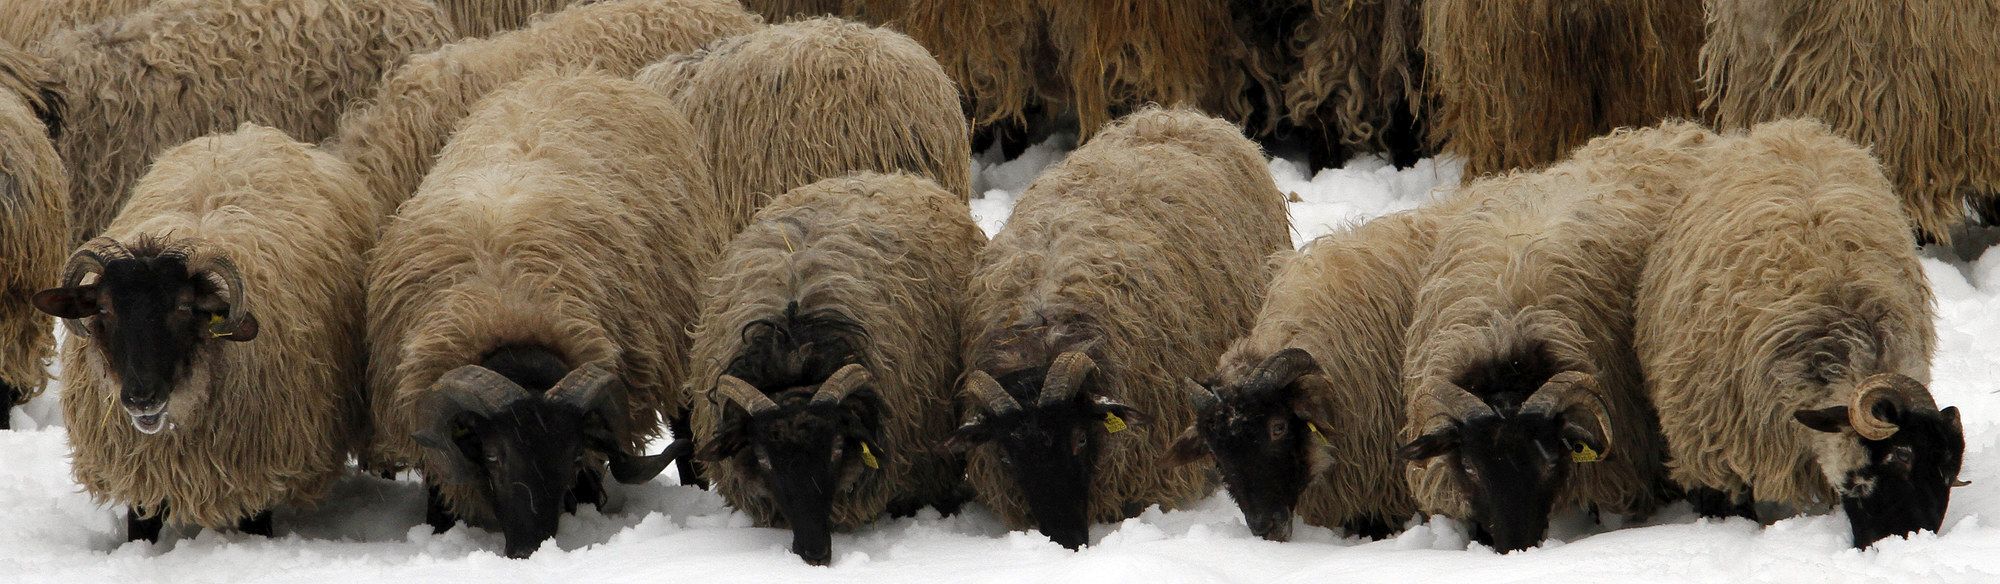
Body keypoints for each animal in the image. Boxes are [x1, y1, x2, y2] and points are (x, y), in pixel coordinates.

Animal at [29, 124, 374, 541]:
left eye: (182, 308)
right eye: (105, 309)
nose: (141, 398)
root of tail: (248, 132)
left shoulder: (256, 479)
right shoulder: (143, 479)